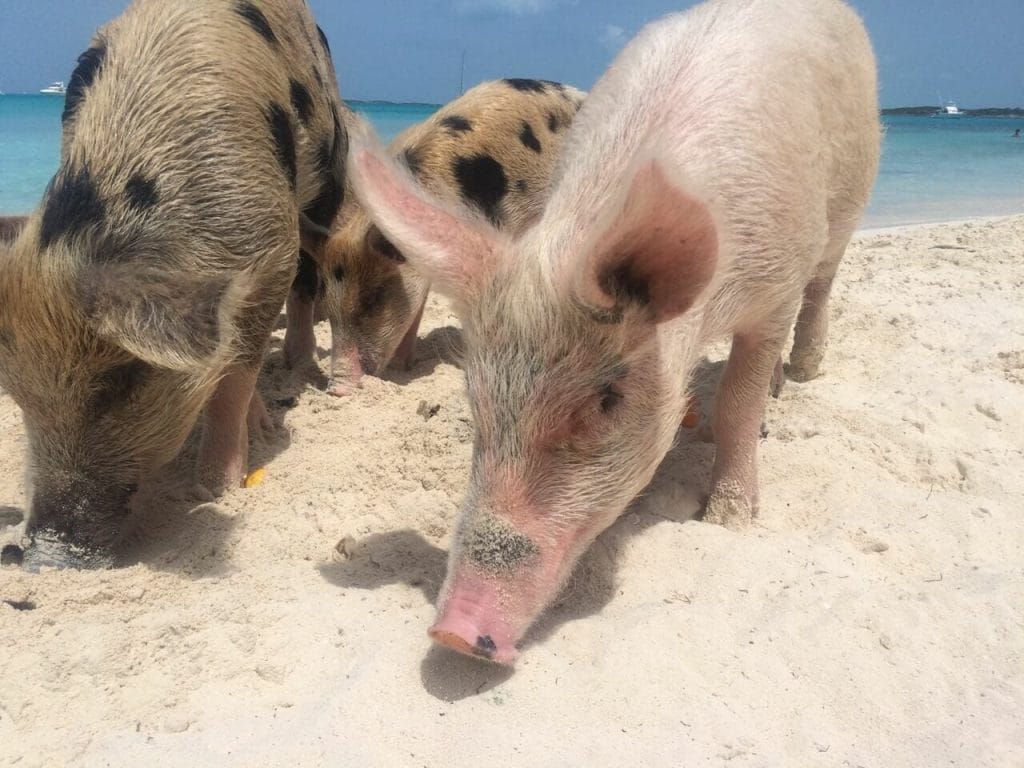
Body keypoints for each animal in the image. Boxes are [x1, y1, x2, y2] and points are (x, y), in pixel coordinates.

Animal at [0, 0, 350, 573]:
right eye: (18, 395)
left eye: (118, 384)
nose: (46, 555)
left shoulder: (271, 249)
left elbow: (235, 372)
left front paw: (215, 490)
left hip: (329, 170)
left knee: (309, 273)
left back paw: (295, 366)